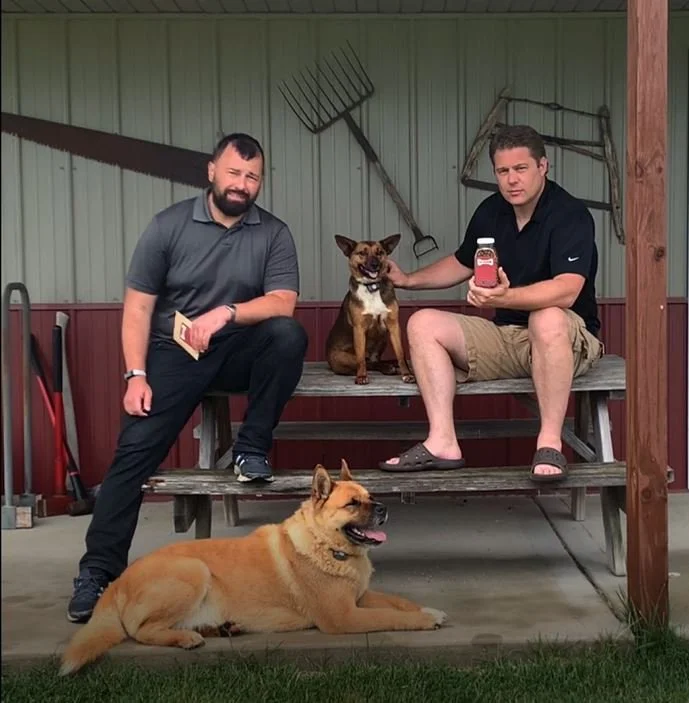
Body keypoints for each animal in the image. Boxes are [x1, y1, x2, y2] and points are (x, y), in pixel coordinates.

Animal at [59, 460, 447, 675]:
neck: (328, 546)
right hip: (194, 570)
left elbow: (398, 601)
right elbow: (392, 616)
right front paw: (424, 620)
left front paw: (430, 609)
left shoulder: (361, 597)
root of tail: (116, 584)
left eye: (370, 497)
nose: (384, 508)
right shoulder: (345, 617)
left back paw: (220, 628)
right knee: (140, 630)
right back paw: (187, 638)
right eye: (353, 504)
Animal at [326, 234, 415, 385]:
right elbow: (361, 358)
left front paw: (407, 373)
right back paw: (386, 367)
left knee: (374, 360)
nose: (375, 265)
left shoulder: (393, 325)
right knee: (368, 362)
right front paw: (361, 376)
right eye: (362, 253)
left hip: (383, 337)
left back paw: (389, 365)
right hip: (342, 357)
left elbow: (401, 353)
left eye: (380, 253)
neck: (372, 287)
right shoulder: (359, 328)